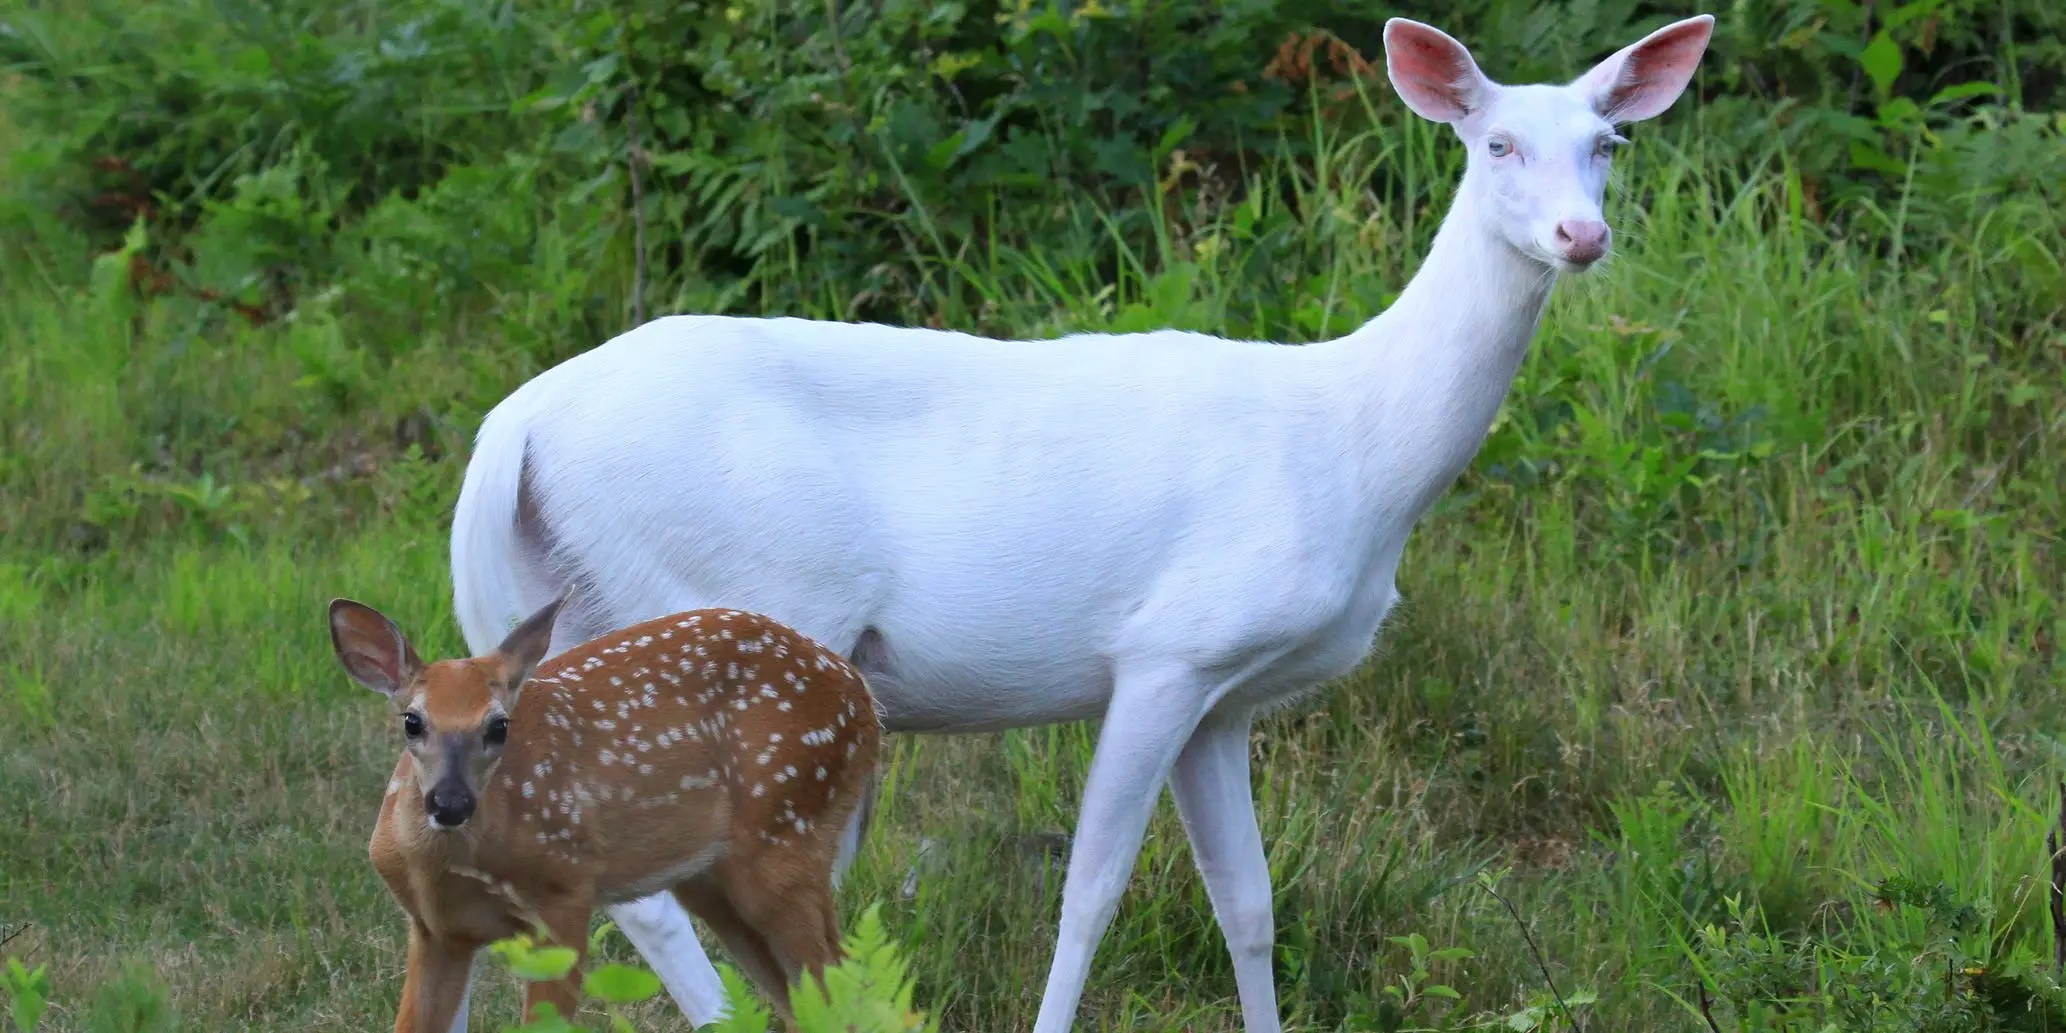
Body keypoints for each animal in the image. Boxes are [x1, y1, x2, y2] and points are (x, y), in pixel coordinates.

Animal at [326, 594, 883, 1032]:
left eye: (499, 726)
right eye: (412, 721)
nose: (450, 802)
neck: (449, 870)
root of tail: (864, 699)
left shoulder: (564, 893)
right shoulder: (437, 931)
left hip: (786, 830)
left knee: (847, 991)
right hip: (713, 880)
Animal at [439, 13, 1715, 1032]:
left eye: (1606, 145)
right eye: (1495, 143)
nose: (1580, 237)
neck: (1353, 452)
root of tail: (515, 424)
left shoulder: (1225, 697)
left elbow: (1247, 900)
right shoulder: (1166, 647)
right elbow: (1090, 889)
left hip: (590, 613)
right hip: (710, 599)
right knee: (649, 880)